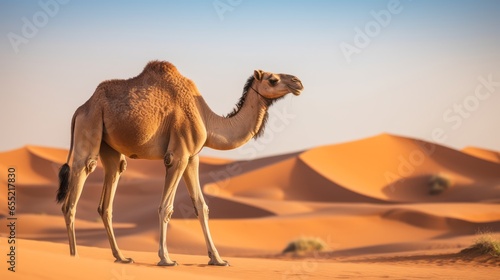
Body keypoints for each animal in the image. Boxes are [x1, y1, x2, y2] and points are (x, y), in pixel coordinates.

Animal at [56, 60, 302, 266]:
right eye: (273, 79)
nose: (298, 82)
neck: (206, 118)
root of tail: (81, 109)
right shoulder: (178, 155)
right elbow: (166, 207)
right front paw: (165, 259)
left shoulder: (192, 157)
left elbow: (202, 206)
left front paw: (218, 260)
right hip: (90, 126)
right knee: (75, 191)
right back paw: (74, 256)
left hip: (110, 147)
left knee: (108, 196)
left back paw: (121, 257)